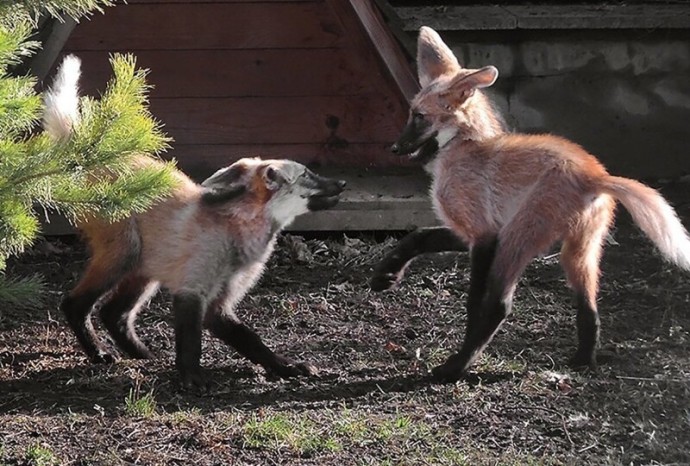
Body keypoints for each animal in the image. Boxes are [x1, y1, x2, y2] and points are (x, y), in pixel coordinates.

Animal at [43, 56, 344, 388]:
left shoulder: (220, 304)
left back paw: (142, 355)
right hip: (124, 255)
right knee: (74, 304)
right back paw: (98, 353)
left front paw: (285, 367)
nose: (342, 183)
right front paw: (192, 378)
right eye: (308, 175)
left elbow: (253, 342)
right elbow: (191, 342)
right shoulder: (192, 290)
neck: (237, 237)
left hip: (147, 271)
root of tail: (103, 159)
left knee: (113, 314)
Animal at [370, 26, 690, 382]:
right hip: (576, 250)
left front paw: (461, 357)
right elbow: (419, 236)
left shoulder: (485, 236)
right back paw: (583, 360)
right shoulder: (473, 232)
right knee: (589, 307)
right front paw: (385, 275)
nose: (394, 148)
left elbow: (474, 302)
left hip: (518, 237)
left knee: (500, 305)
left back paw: (455, 366)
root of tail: (593, 175)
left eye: (419, 117)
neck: (462, 148)